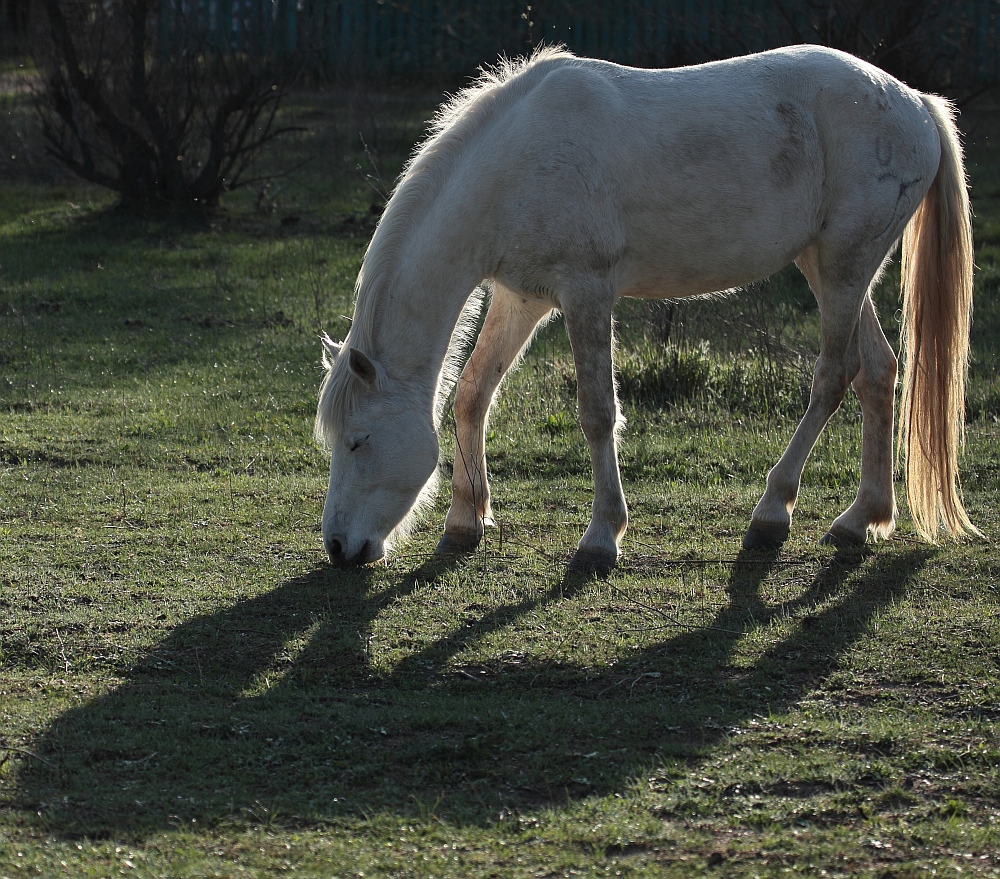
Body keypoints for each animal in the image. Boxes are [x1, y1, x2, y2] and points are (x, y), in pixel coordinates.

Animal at [314, 44, 976, 576]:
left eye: (359, 442)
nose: (339, 548)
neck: (515, 164)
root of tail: (915, 102)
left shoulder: (586, 294)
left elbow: (597, 414)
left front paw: (601, 537)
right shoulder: (521, 299)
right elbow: (473, 394)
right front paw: (464, 523)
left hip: (843, 268)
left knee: (833, 377)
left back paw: (771, 515)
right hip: (830, 267)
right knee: (879, 372)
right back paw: (860, 519)